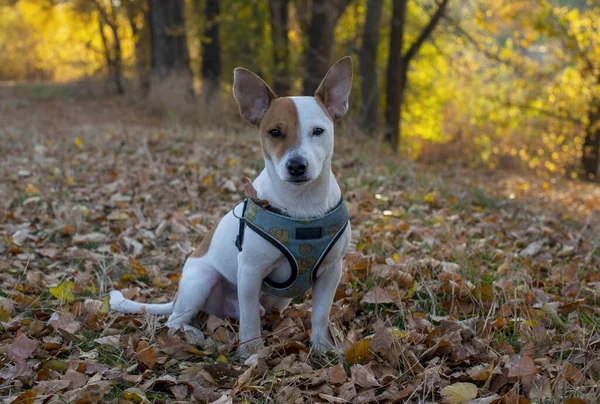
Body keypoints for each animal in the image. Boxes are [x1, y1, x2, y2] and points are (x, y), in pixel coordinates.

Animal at [109, 56, 352, 356]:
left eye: (318, 131)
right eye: (274, 132)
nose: (296, 166)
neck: (302, 206)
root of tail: (176, 297)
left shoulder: (332, 272)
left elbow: (320, 314)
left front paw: (321, 348)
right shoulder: (249, 272)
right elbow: (249, 321)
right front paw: (251, 353)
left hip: (273, 301)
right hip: (201, 281)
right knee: (175, 320)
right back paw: (192, 333)